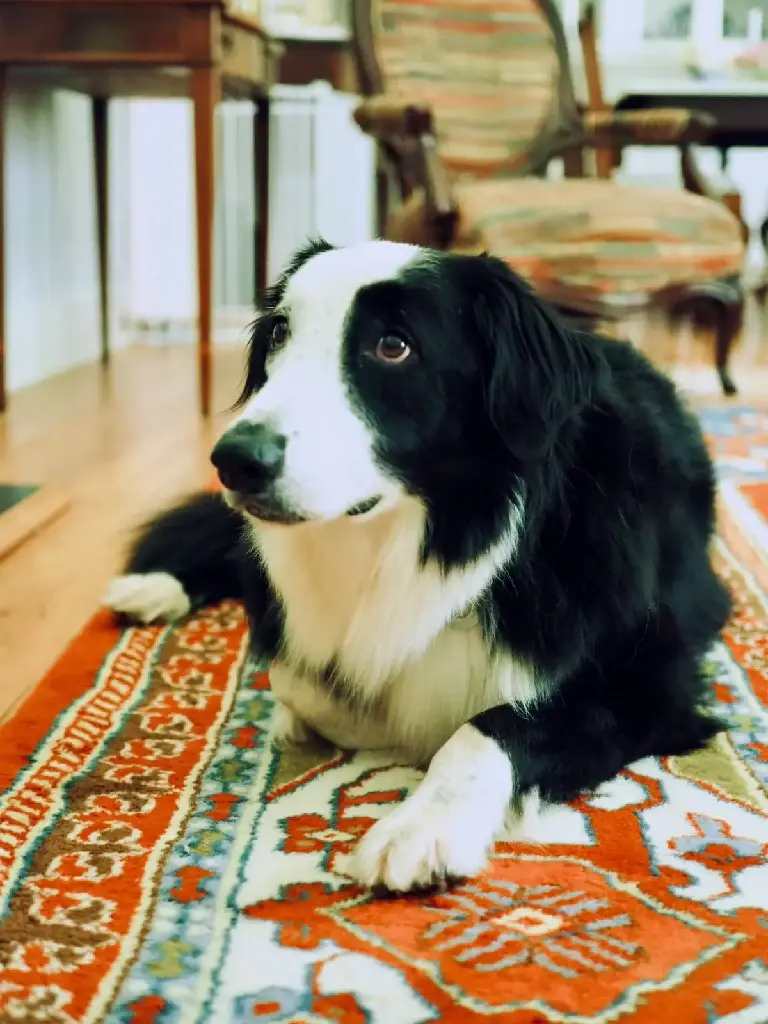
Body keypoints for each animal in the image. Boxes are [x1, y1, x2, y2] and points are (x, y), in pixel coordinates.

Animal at [103, 239, 733, 897]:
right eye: (279, 333)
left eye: (394, 345)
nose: (234, 460)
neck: (426, 537)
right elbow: (303, 682)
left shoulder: (651, 688)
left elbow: (486, 726)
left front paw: (419, 827)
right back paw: (152, 587)